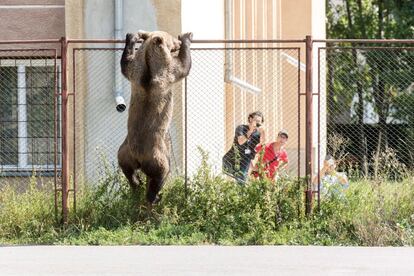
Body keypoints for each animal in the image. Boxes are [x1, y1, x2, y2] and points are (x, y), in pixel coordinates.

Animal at [118, 30, 192, 204]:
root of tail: (138, 157)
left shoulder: (135, 72)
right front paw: (186, 37)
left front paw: (132, 37)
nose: (177, 43)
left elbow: (125, 64)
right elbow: (183, 66)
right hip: (157, 154)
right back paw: (154, 196)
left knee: (126, 169)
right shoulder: (167, 72)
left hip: (125, 150)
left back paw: (136, 183)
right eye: (171, 39)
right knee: (161, 174)